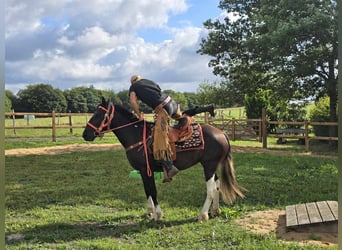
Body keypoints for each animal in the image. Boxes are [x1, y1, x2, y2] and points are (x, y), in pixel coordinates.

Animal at [82, 97, 243, 221]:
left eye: (98, 115)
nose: (85, 134)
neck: (137, 135)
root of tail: (222, 133)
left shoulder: (145, 170)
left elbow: (152, 191)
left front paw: (157, 215)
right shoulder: (144, 171)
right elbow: (147, 191)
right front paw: (149, 211)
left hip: (208, 166)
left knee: (210, 189)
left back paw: (203, 215)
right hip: (212, 166)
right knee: (217, 185)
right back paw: (215, 211)